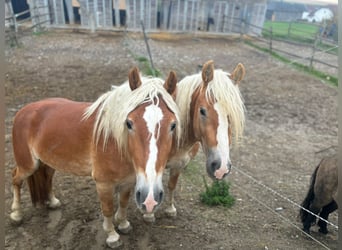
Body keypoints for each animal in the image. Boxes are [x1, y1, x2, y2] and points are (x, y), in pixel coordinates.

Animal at [9, 67, 182, 248]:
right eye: (129, 123)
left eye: (173, 125)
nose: (150, 199)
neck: (114, 141)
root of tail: (24, 111)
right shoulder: (103, 184)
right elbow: (108, 209)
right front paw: (112, 236)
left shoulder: (128, 180)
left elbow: (123, 203)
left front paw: (123, 224)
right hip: (28, 165)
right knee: (16, 178)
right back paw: (16, 215)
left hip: (47, 161)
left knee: (47, 177)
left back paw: (52, 201)